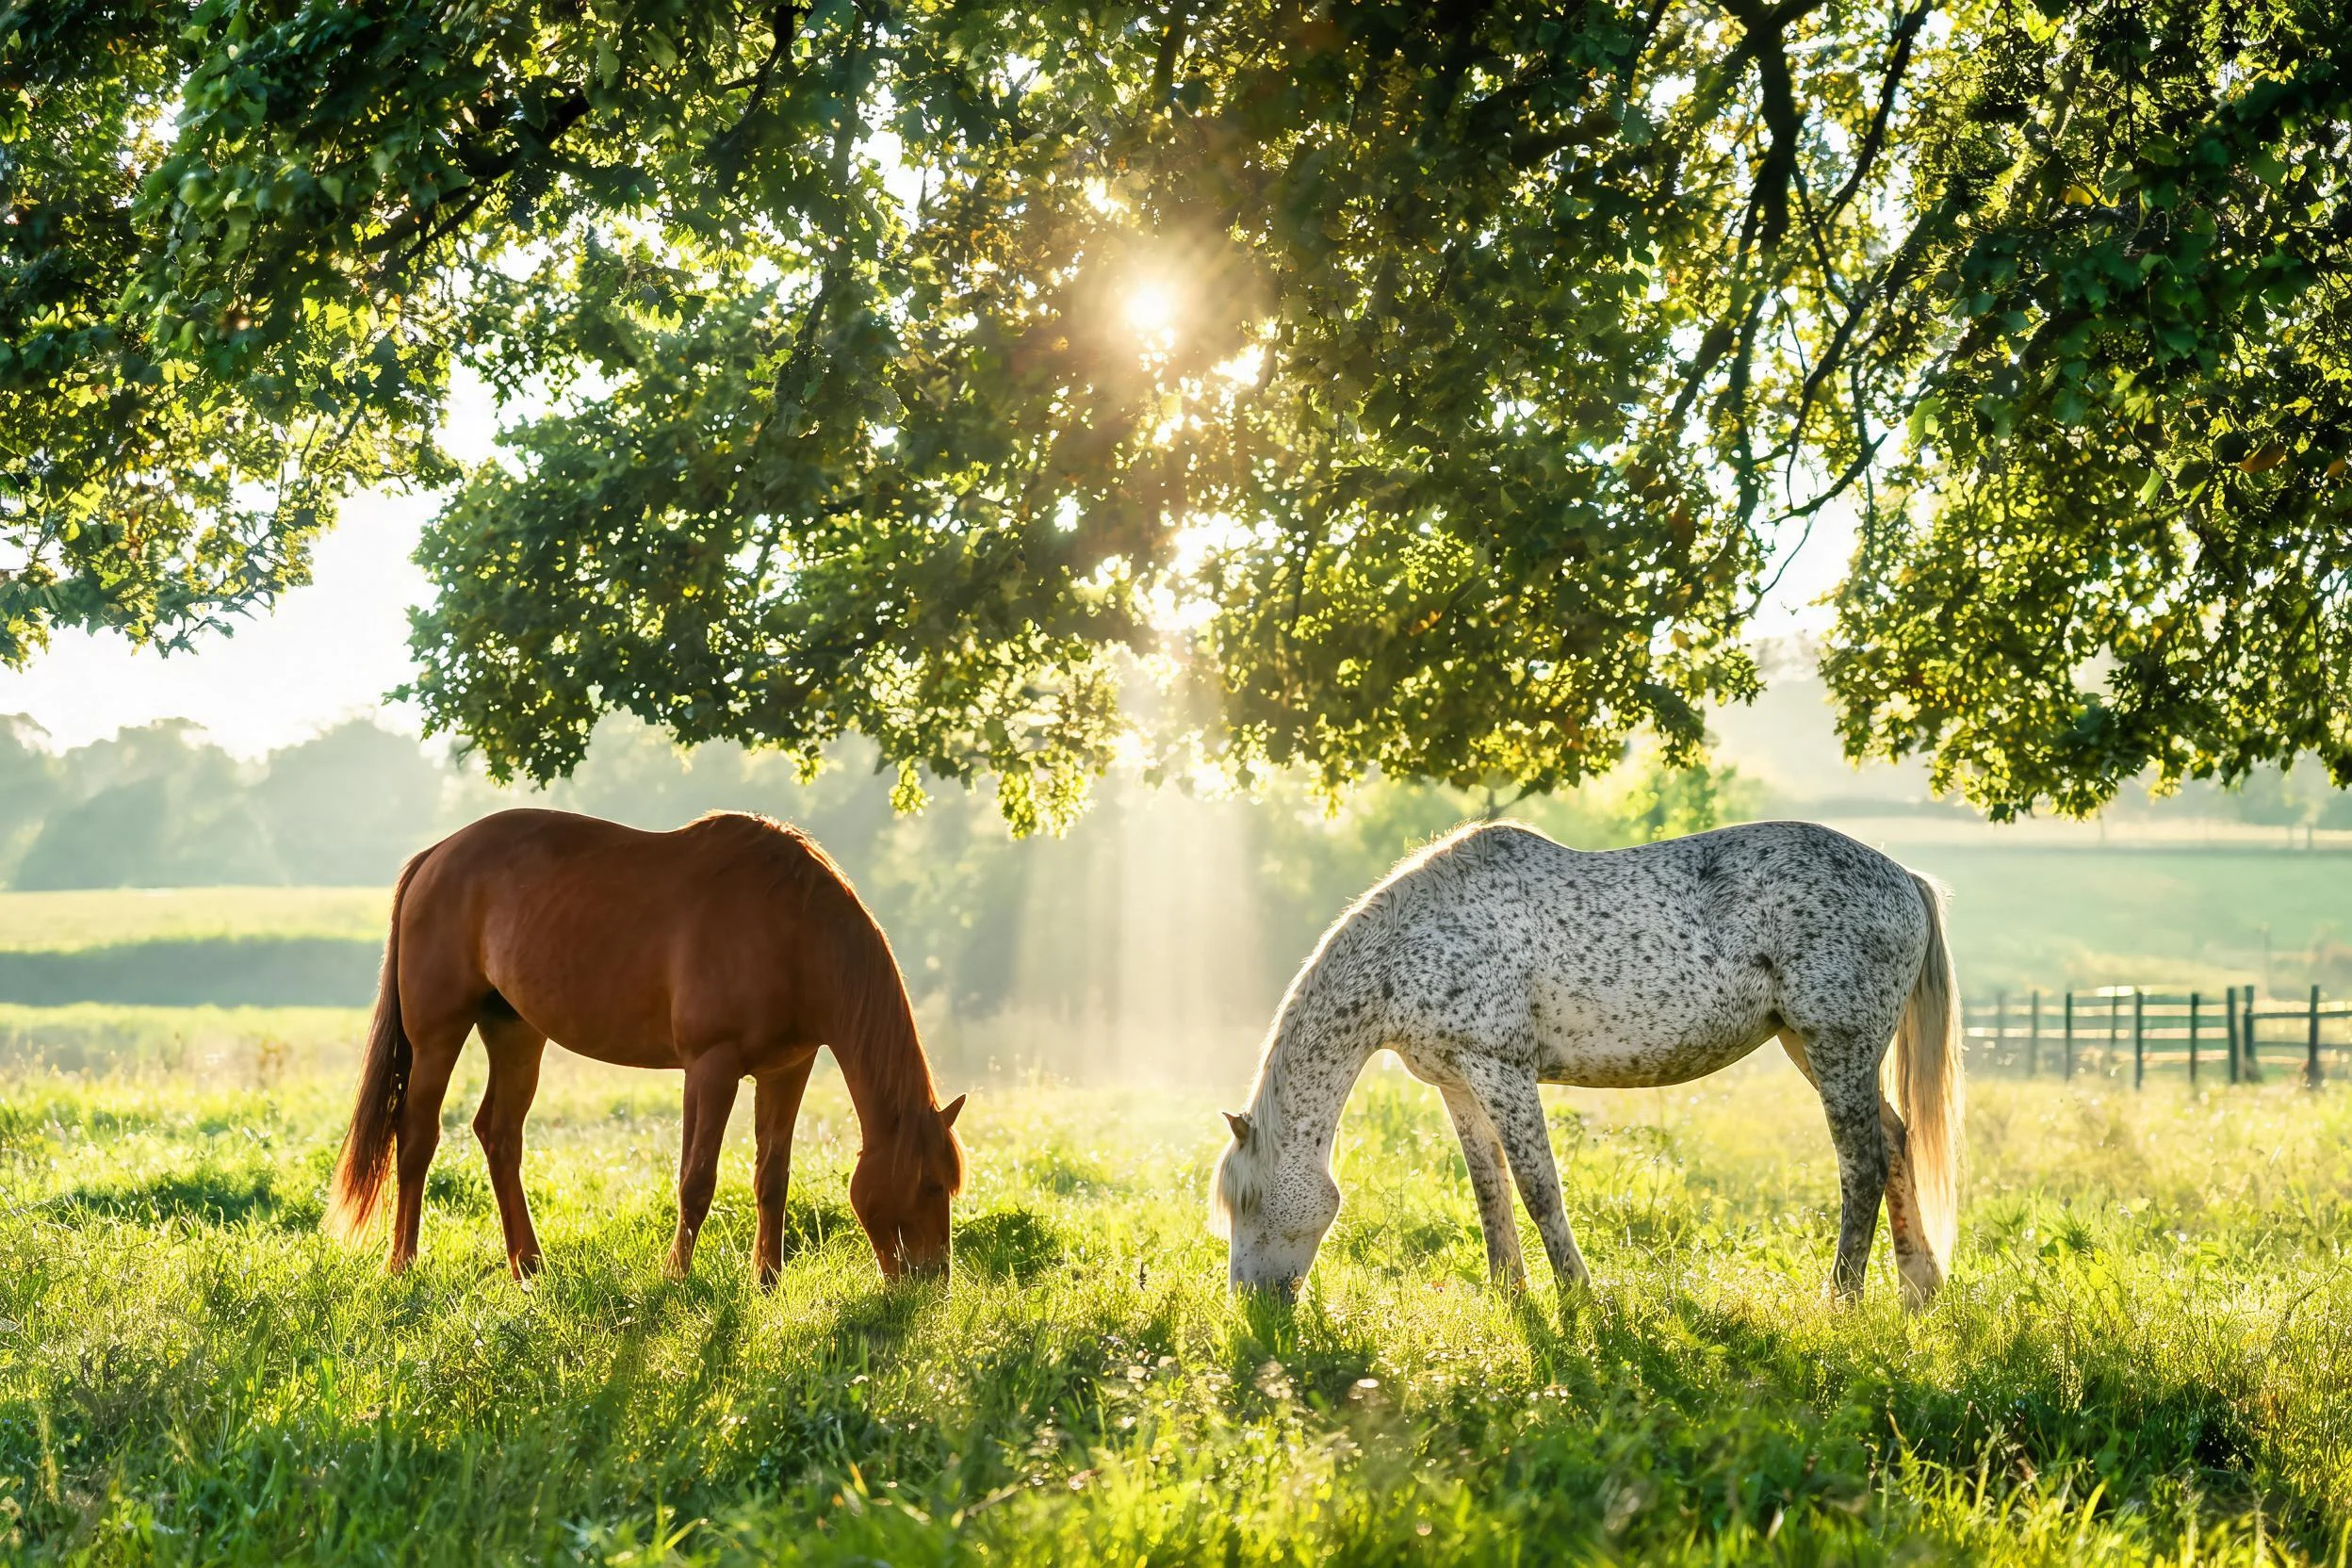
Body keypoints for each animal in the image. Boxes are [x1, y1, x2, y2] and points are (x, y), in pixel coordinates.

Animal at [324, 808, 965, 1285]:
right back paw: (404, 1264)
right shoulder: (712, 1067)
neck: (794, 932)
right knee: (417, 1136)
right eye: (930, 1185)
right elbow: (696, 1180)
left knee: (499, 1135)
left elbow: (771, 1178)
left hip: (516, 1033)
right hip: (438, 1035)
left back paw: (529, 1266)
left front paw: (767, 1281)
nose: (932, 1282)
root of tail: (436, 855)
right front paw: (676, 1278)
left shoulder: (787, 1070)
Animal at [1210, 819, 1961, 1308]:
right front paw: (1509, 1298)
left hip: (1837, 1047)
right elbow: (1489, 1190)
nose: (1252, 1308)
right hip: (1808, 1046)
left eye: (1247, 1203)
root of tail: (1905, 879)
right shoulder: (1458, 1084)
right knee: (1895, 1142)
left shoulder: (1503, 1071)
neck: (1410, 949)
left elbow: (1539, 1188)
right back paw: (1916, 1290)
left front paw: (1578, 1298)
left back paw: (1842, 1300)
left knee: (1861, 1164)